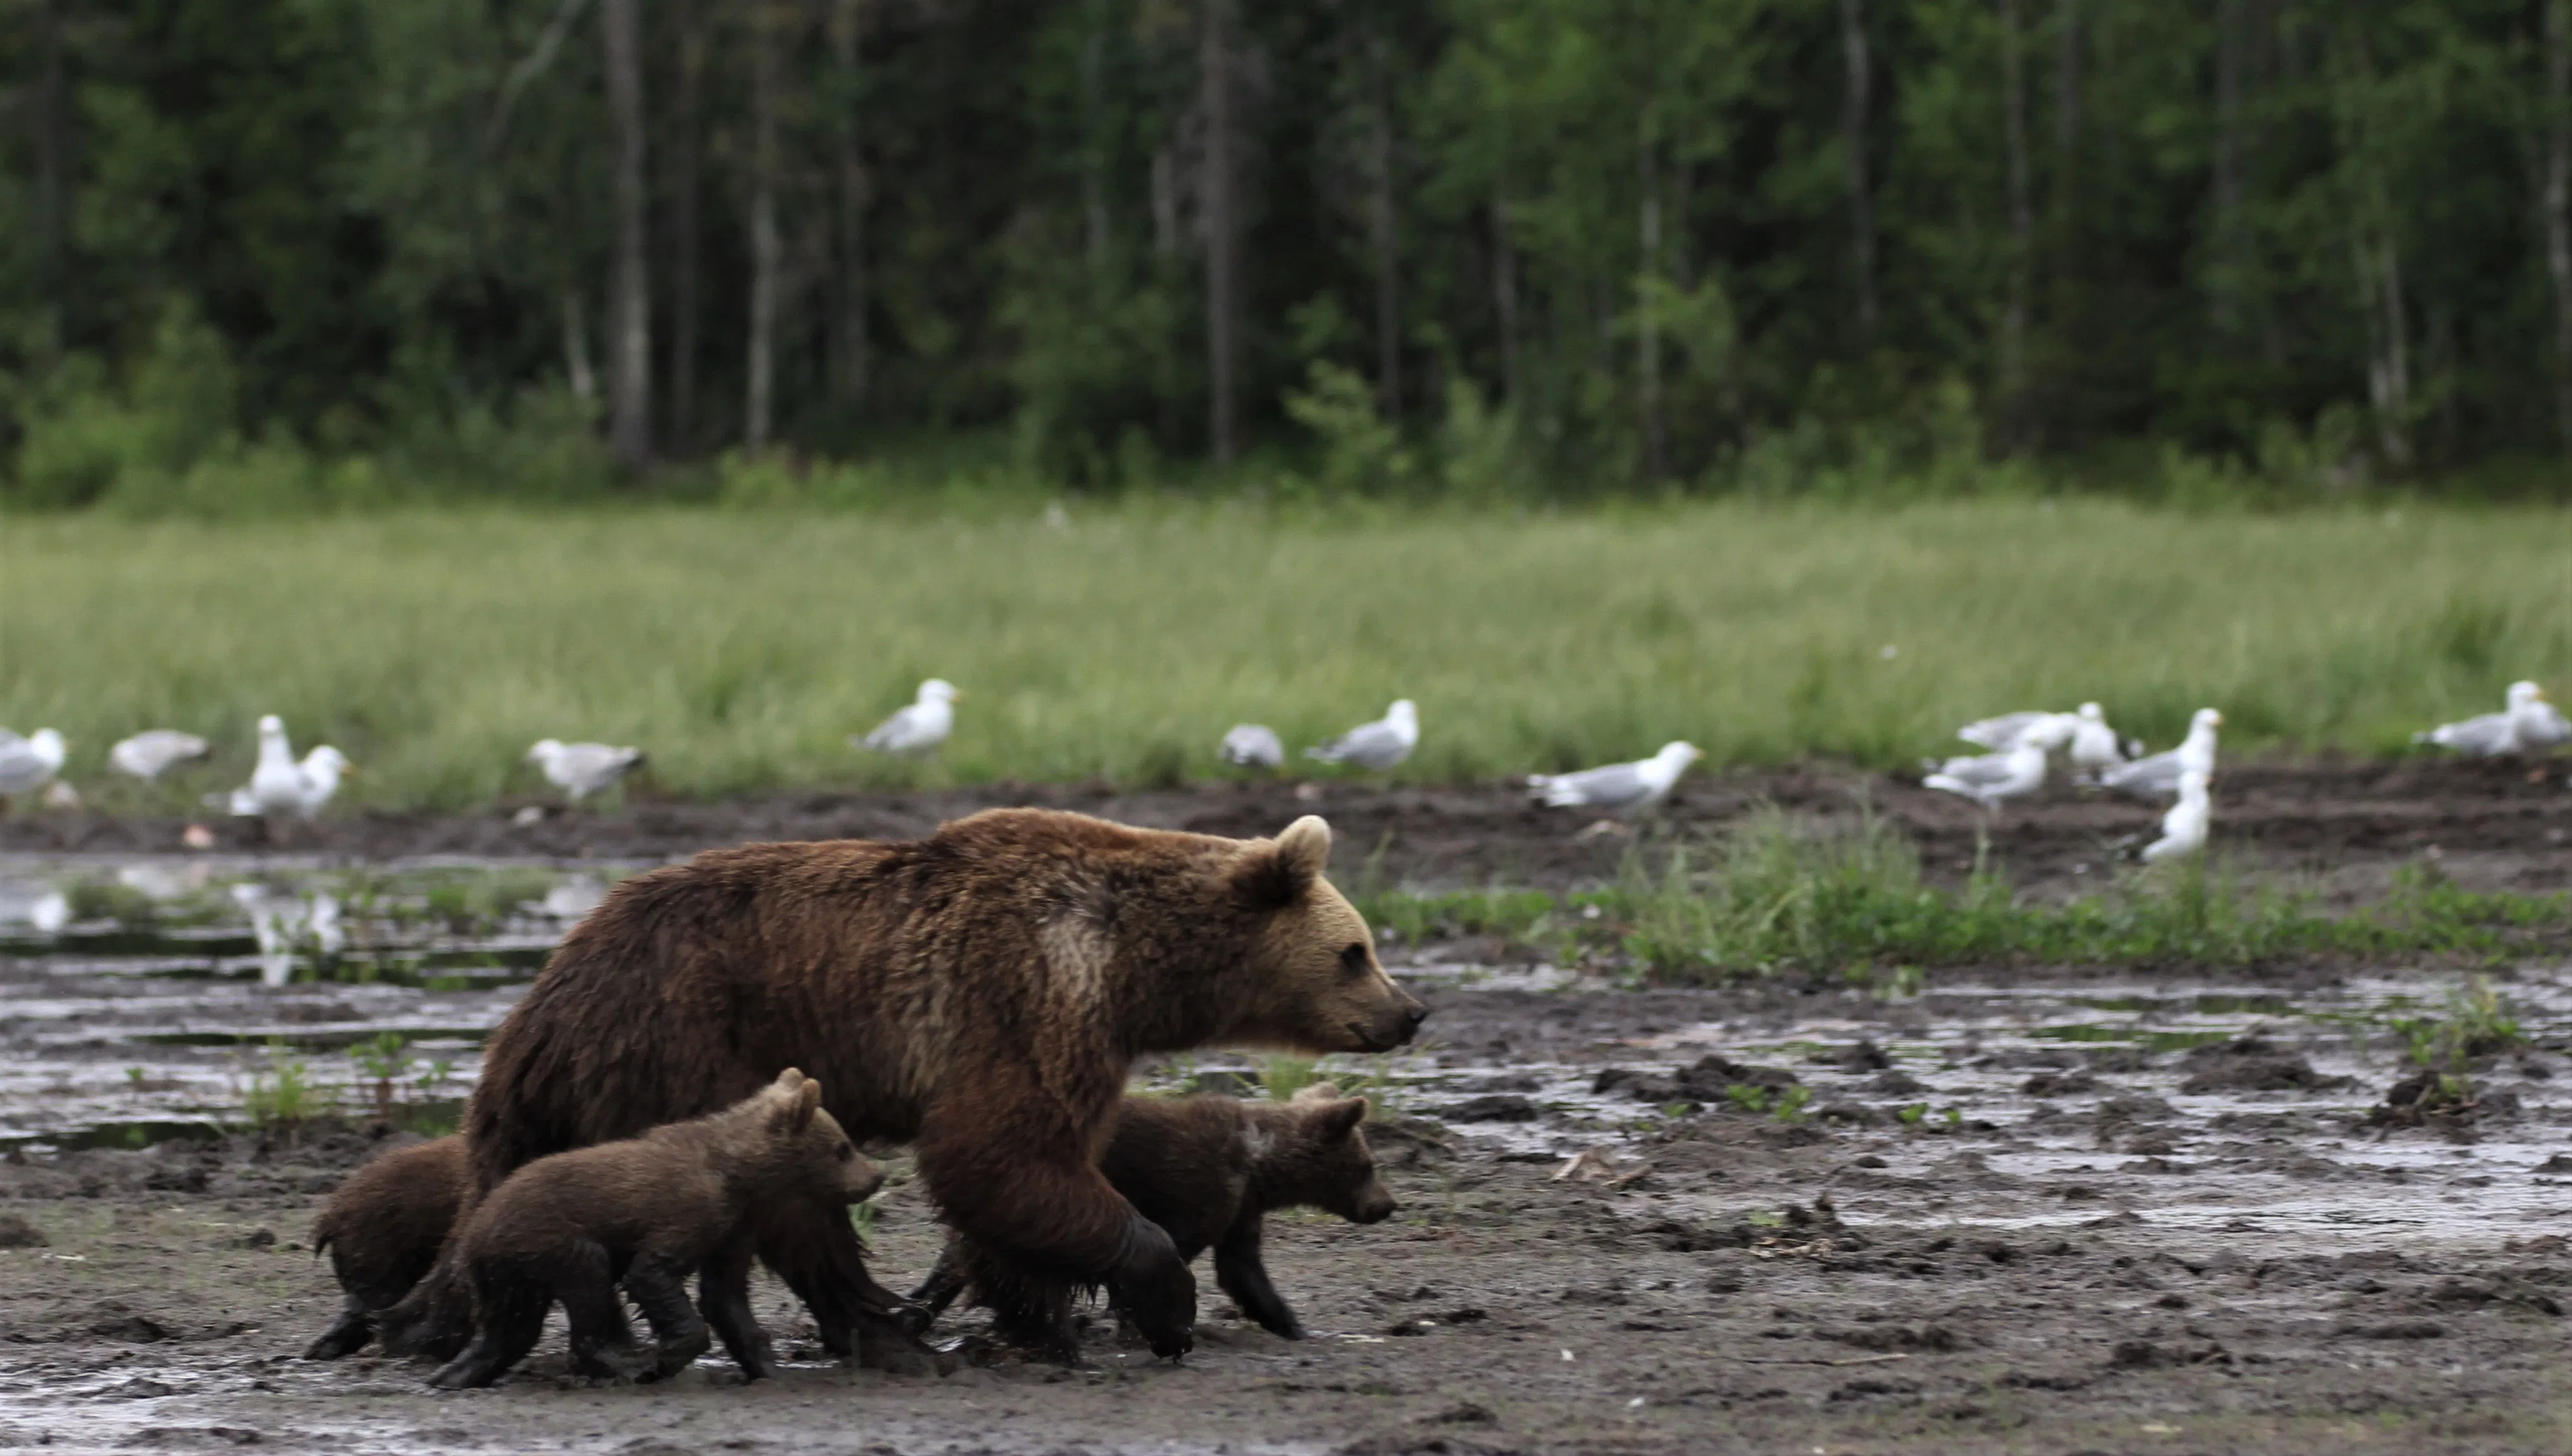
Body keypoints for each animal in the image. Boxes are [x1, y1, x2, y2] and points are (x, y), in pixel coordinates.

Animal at [426, 1068, 881, 1389]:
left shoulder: (735, 1228)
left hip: (507, 1271)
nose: (875, 1176)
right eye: (842, 1148)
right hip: (544, 1238)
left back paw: (453, 1375)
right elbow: (652, 1273)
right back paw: (620, 1364)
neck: (739, 1177)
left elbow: (727, 1296)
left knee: (509, 1328)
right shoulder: (691, 1211)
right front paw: (661, 1358)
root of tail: (474, 1230)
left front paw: (769, 1369)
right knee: (586, 1279)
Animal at [903, 1085, 1396, 1360]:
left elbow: (1244, 1273)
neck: (1258, 1165)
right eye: (1367, 1166)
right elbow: (1164, 1259)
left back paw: (917, 1310)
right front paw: (1143, 1327)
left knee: (957, 1259)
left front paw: (1298, 1327)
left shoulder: (1239, 1211)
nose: (1387, 1206)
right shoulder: (1197, 1193)